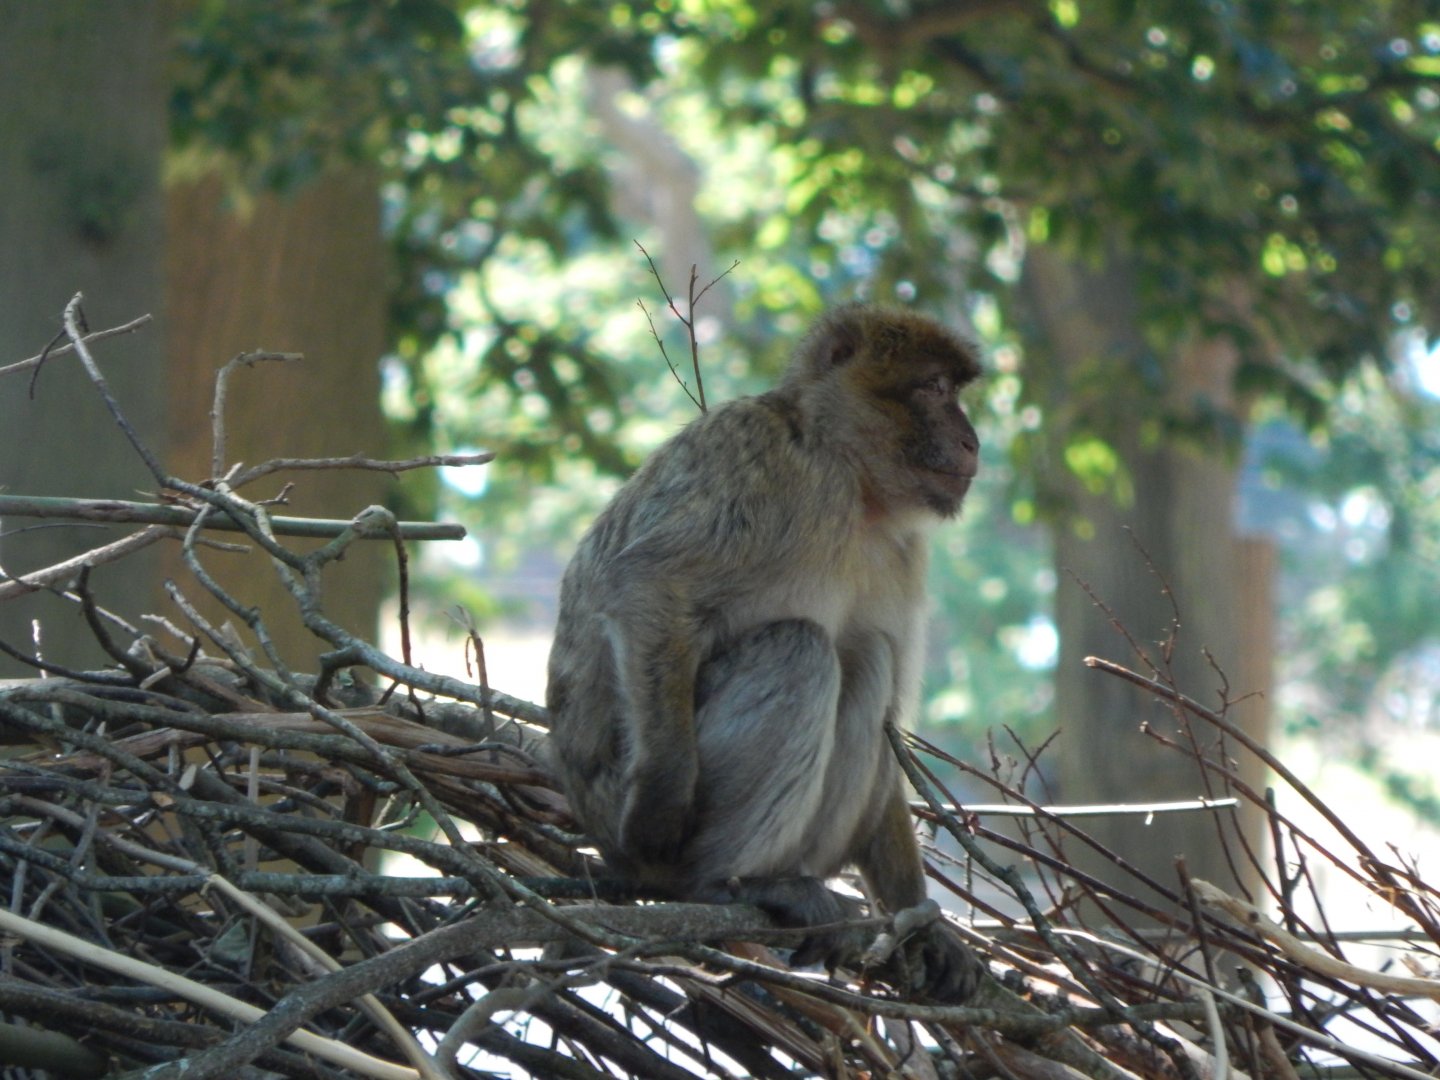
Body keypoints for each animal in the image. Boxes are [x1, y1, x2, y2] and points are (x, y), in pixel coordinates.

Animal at [545, 304, 984, 1000]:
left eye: (954, 390)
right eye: (935, 388)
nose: (973, 442)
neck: (851, 480)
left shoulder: (902, 551)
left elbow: (888, 717)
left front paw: (920, 919)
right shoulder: (761, 456)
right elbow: (645, 585)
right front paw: (662, 801)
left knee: (866, 659)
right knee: (801, 649)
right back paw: (721, 883)